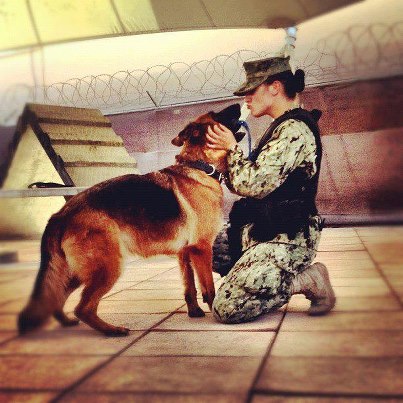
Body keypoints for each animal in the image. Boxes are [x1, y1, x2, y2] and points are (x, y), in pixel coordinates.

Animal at [17, 103, 241, 338]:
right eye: (216, 114)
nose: (237, 102)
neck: (200, 166)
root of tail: (60, 215)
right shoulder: (201, 249)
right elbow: (208, 287)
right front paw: (215, 311)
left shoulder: (184, 253)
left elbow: (189, 287)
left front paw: (194, 311)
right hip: (108, 267)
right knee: (83, 307)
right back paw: (112, 330)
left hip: (77, 271)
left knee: (57, 297)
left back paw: (67, 322)